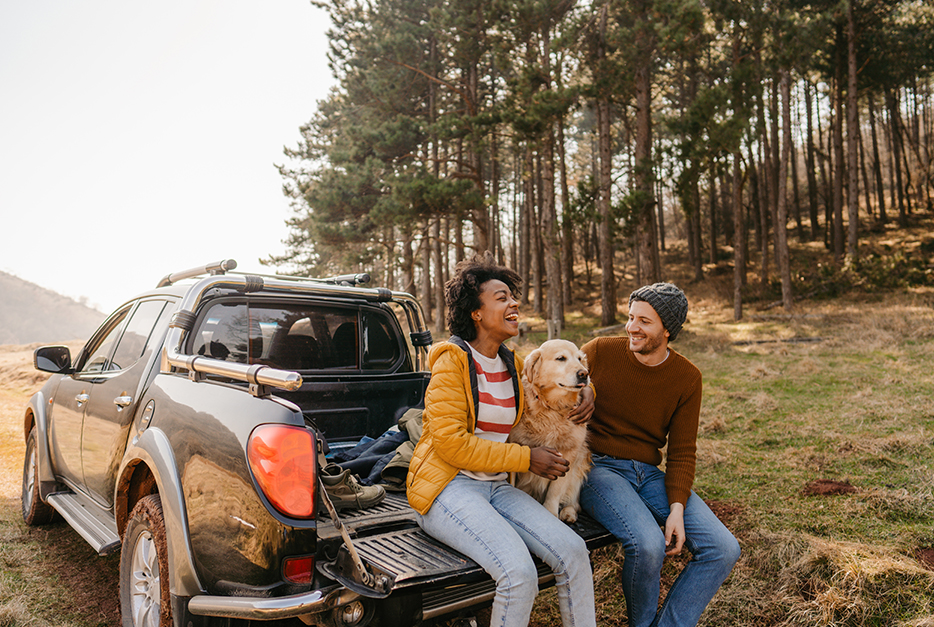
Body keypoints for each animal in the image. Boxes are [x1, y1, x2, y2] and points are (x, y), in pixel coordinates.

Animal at [512, 340, 592, 524]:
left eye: (579, 359)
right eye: (561, 358)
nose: (584, 374)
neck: (552, 409)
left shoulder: (569, 453)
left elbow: (555, 491)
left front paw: (551, 512)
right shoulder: (513, 443)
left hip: (580, 463)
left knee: (575, 502)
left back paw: (568, 512)